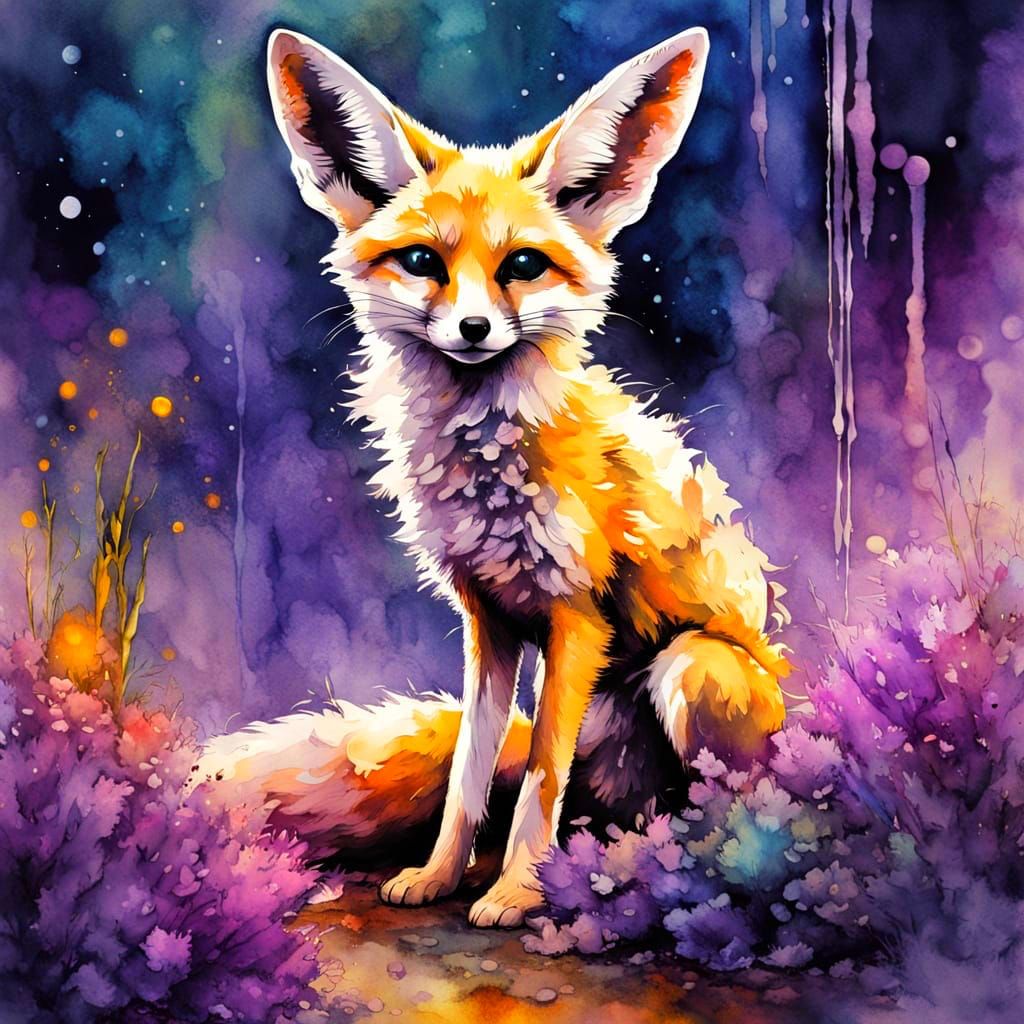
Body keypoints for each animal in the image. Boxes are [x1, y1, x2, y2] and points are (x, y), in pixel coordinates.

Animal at [198, 26, 790, 930]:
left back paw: (677, 864)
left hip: (688, 669)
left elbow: (538, 782)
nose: (474, 328)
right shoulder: (489, 623)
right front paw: (440, 876)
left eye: (523, 265)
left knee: (731, 804)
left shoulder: (578, 621)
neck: (489, 474)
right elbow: (469, 779)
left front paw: (516, 891)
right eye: (421, 261)